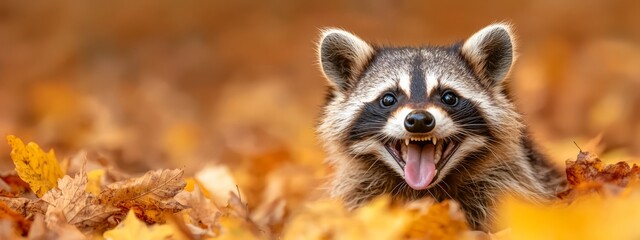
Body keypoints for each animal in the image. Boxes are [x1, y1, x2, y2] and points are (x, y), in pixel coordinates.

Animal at [318, 23, 564, 231]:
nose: (418, 120)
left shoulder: (511, 183)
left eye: (449, 97)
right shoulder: (358, 193)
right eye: (388, 99)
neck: (422, 192)